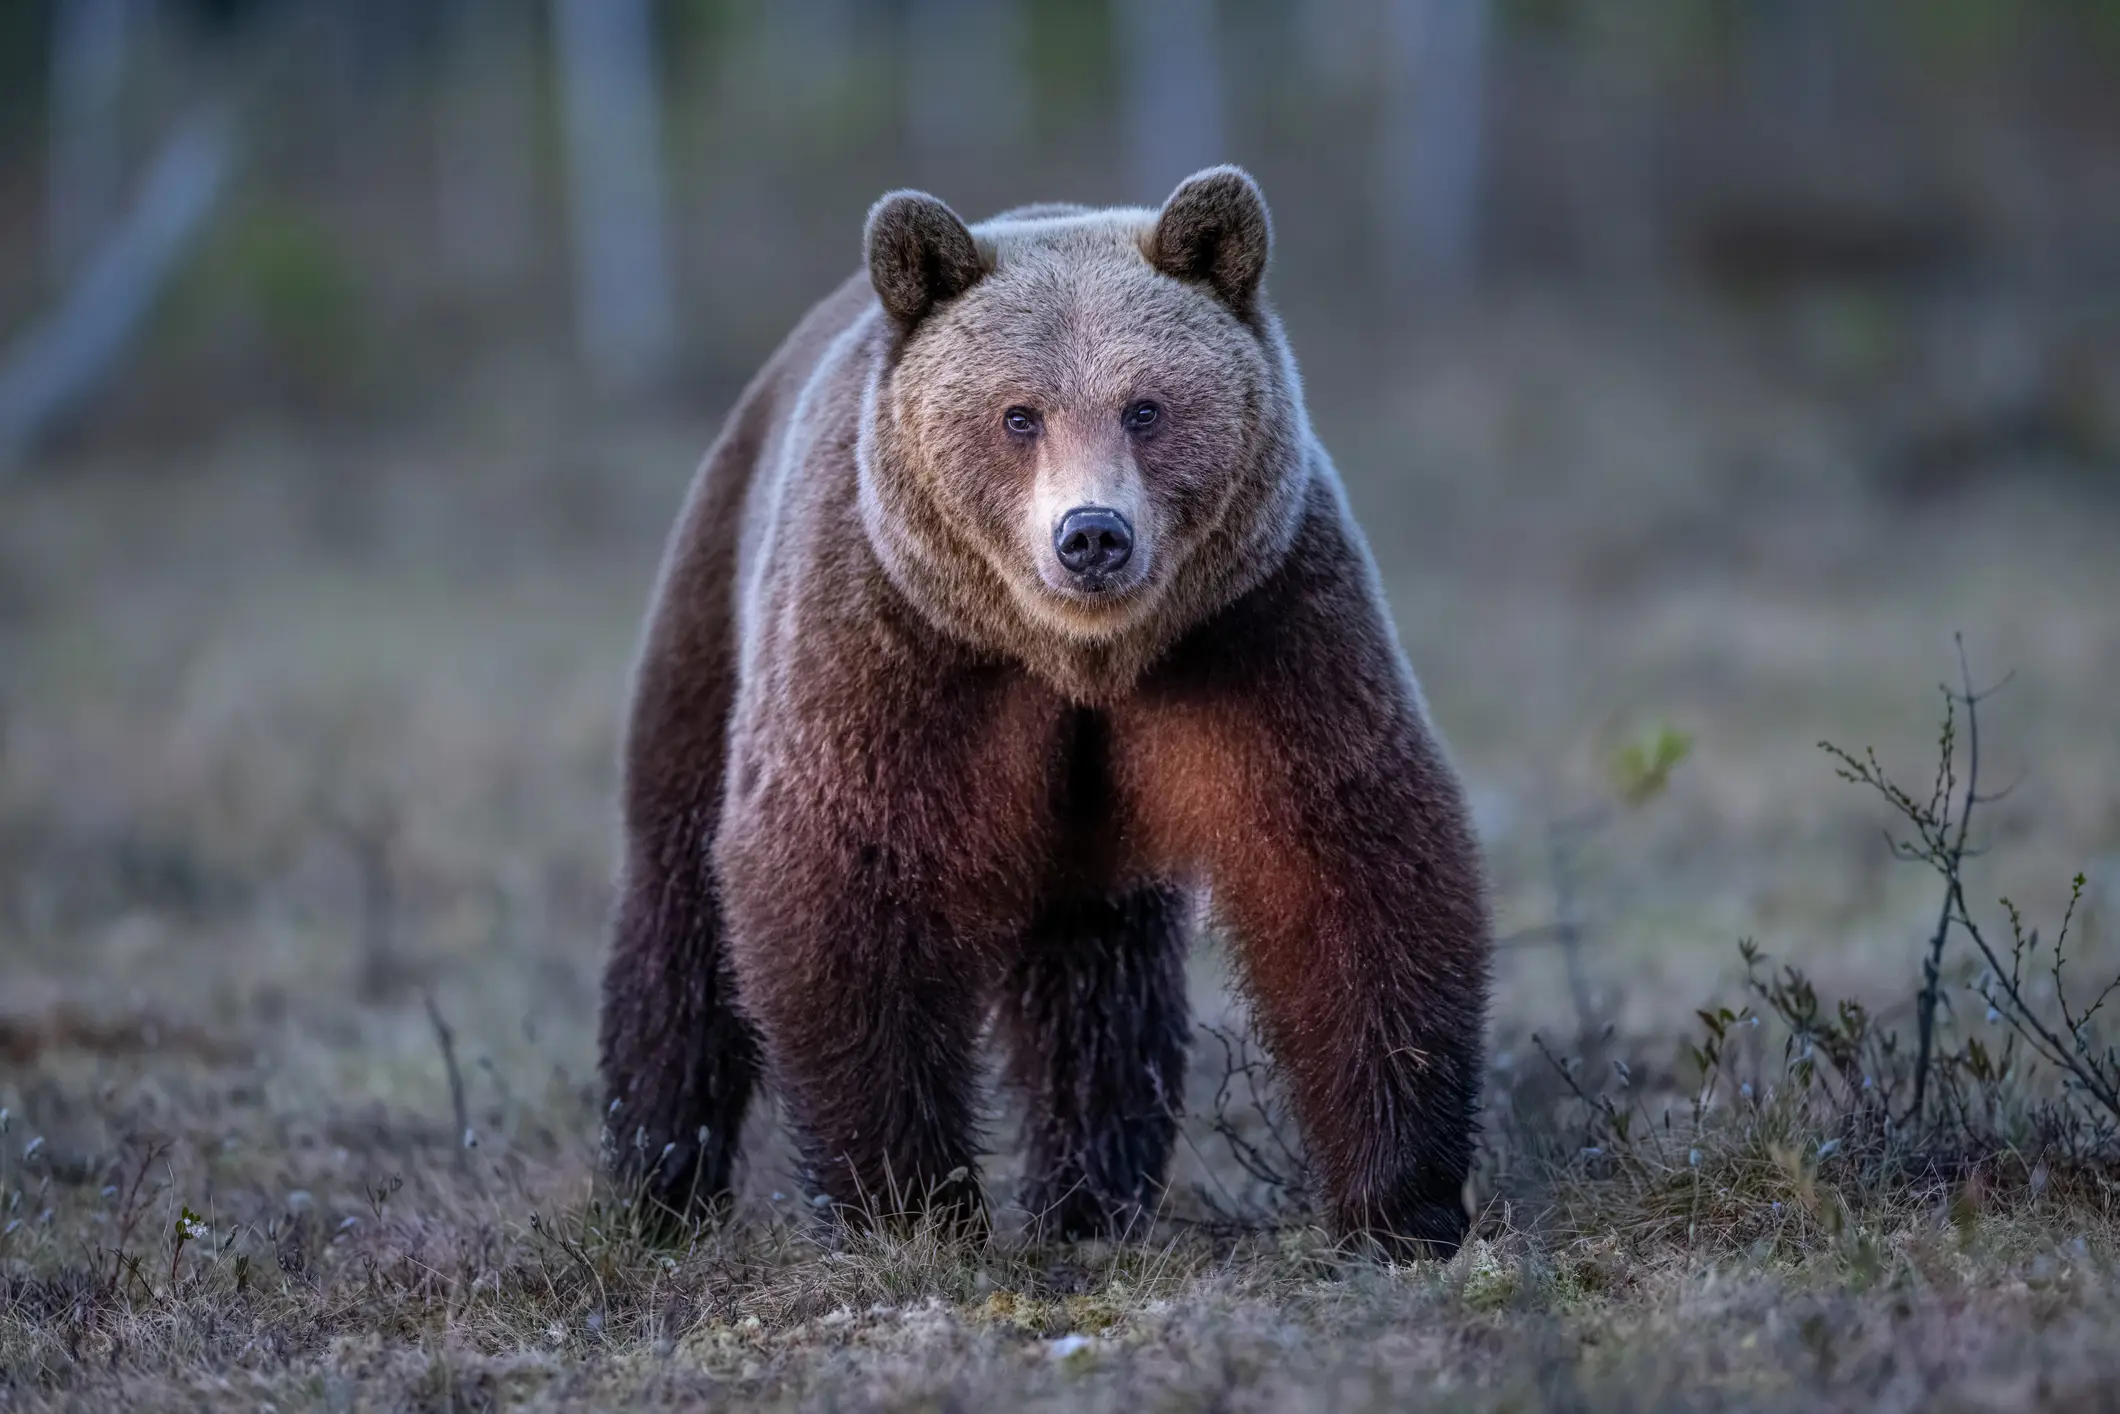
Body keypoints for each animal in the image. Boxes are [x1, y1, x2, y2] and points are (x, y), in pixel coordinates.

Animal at [598, 166, 1490, 1255]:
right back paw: (656, 1180)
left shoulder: (1259, 626)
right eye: (1018, 415)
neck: (1073, 657)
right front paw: (905, 1200)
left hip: (1089, 829)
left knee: (1097, 981)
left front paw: (1402, 1200)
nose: (1092, 534)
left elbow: (1344, 857)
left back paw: (1091, 1196)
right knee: (675, 909)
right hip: (711, 612)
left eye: (1145, 407)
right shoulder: (888, 643)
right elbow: (843, 871)